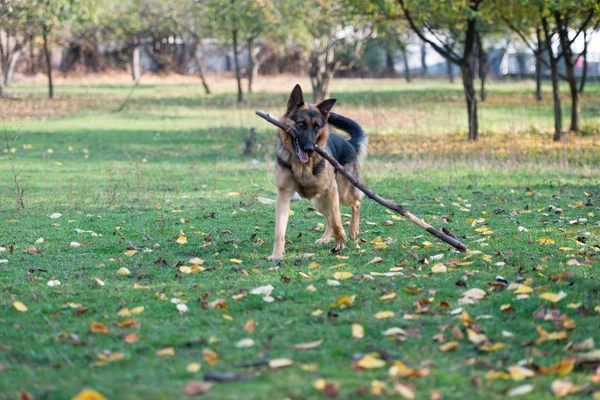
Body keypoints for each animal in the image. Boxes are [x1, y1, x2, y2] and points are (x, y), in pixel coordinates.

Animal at [270, 84, 368, 260]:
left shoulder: (332, 190)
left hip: (343, 194)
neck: (303, 165)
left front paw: (341, 241)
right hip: (318, 201)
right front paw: (276, 255)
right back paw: (325, 239)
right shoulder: (283, 195)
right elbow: (279, 231)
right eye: (301, 124)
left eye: (317, 127)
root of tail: (349, 143)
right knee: (329, 218)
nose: (309, 148)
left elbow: (337, 220)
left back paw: (353, 231)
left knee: (355, 203)